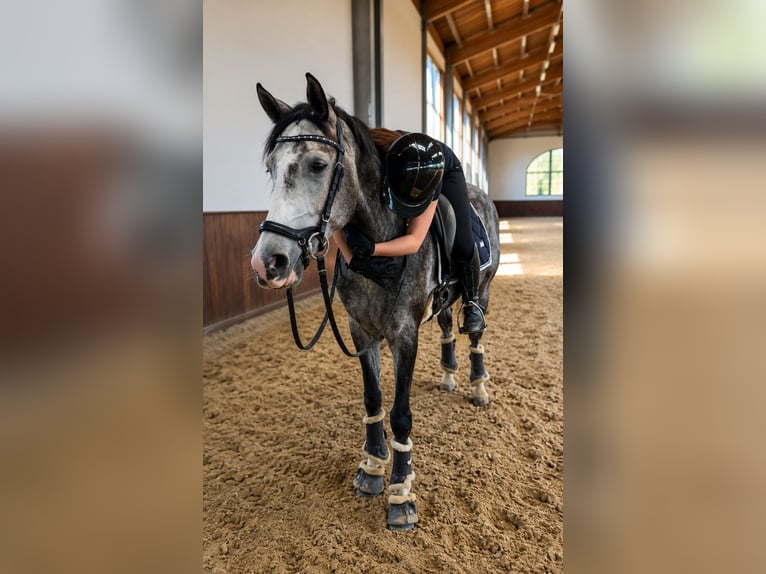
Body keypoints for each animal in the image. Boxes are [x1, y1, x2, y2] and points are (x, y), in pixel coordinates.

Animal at [250, 73, 500, 531]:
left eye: (317, 165)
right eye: (271, 168)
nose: (268, 261)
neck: (380, 242)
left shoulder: (403, 334)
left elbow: (400, 412)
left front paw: (401, 492)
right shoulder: (361, 329)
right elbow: (373, 399)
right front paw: (371, 467)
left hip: (484, 290)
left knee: (475, 332)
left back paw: (477, 386)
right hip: (441, 302)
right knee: (446, 329)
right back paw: (449, 376)